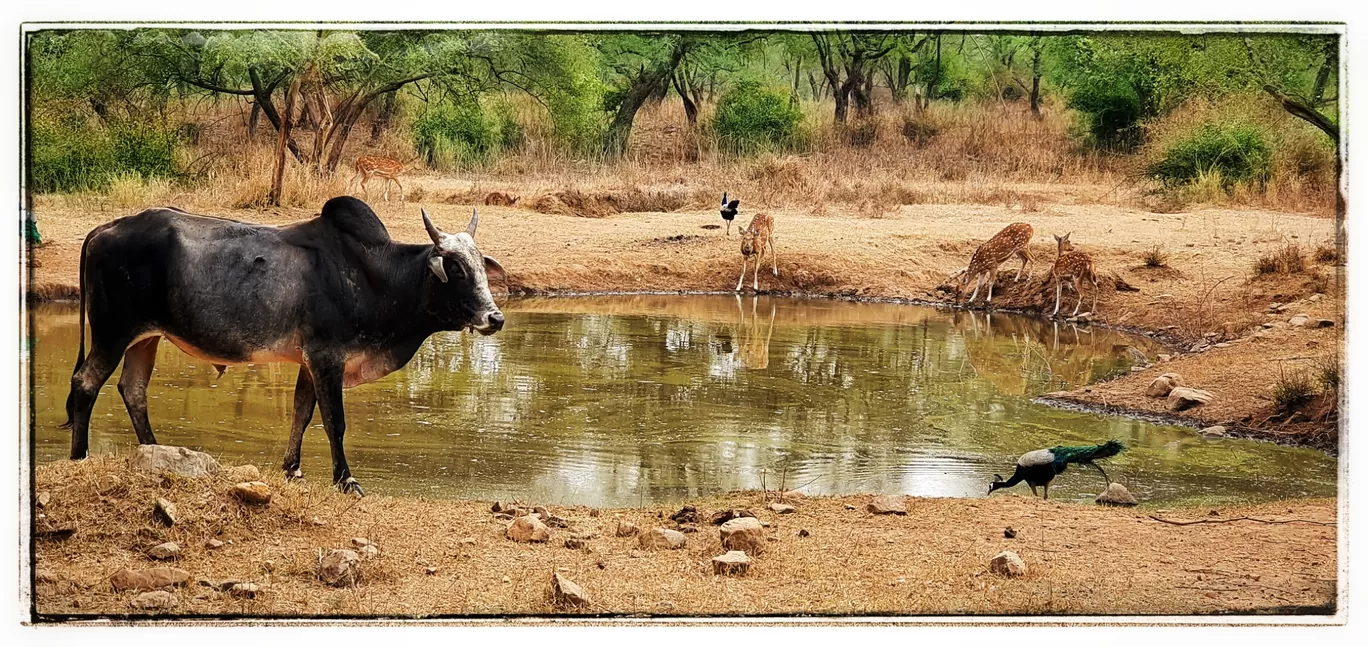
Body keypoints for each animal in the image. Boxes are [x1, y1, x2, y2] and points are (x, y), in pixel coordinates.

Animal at [61, 196, 506, 495]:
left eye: (482, 267)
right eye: (456, 269)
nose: (495, 318)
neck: (374, 277)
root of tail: (104, 229)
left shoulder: (310, 360)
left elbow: (302, 413)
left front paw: (293, 469)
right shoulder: (327, 356)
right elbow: (334, 421)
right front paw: (346, 479)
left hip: (145, 338)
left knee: (133, 389)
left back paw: (156, 452)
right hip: (113, 333)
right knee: (86, 383)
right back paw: (81, 456)